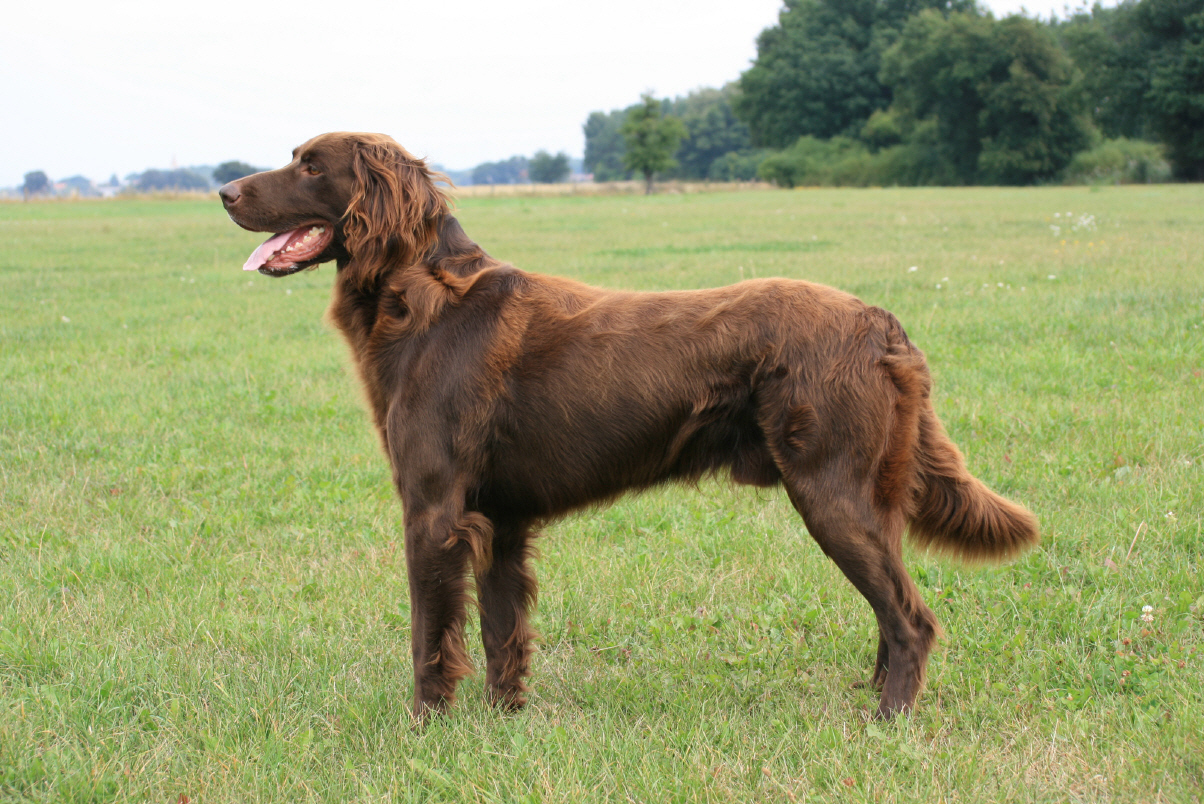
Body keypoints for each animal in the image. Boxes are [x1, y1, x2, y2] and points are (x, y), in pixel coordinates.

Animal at [221, 131, 1040, 722]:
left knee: (911, 617)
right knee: (891, 606)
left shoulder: (434, 511)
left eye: (309, 165)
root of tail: (881, 323)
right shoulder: (499, 518)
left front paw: (426, 725)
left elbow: (430, 635)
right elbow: (499, 629)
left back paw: (888, 720)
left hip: (832, 493)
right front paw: (503, 719)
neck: (421, 295)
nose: (223, 190)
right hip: (869, 496)